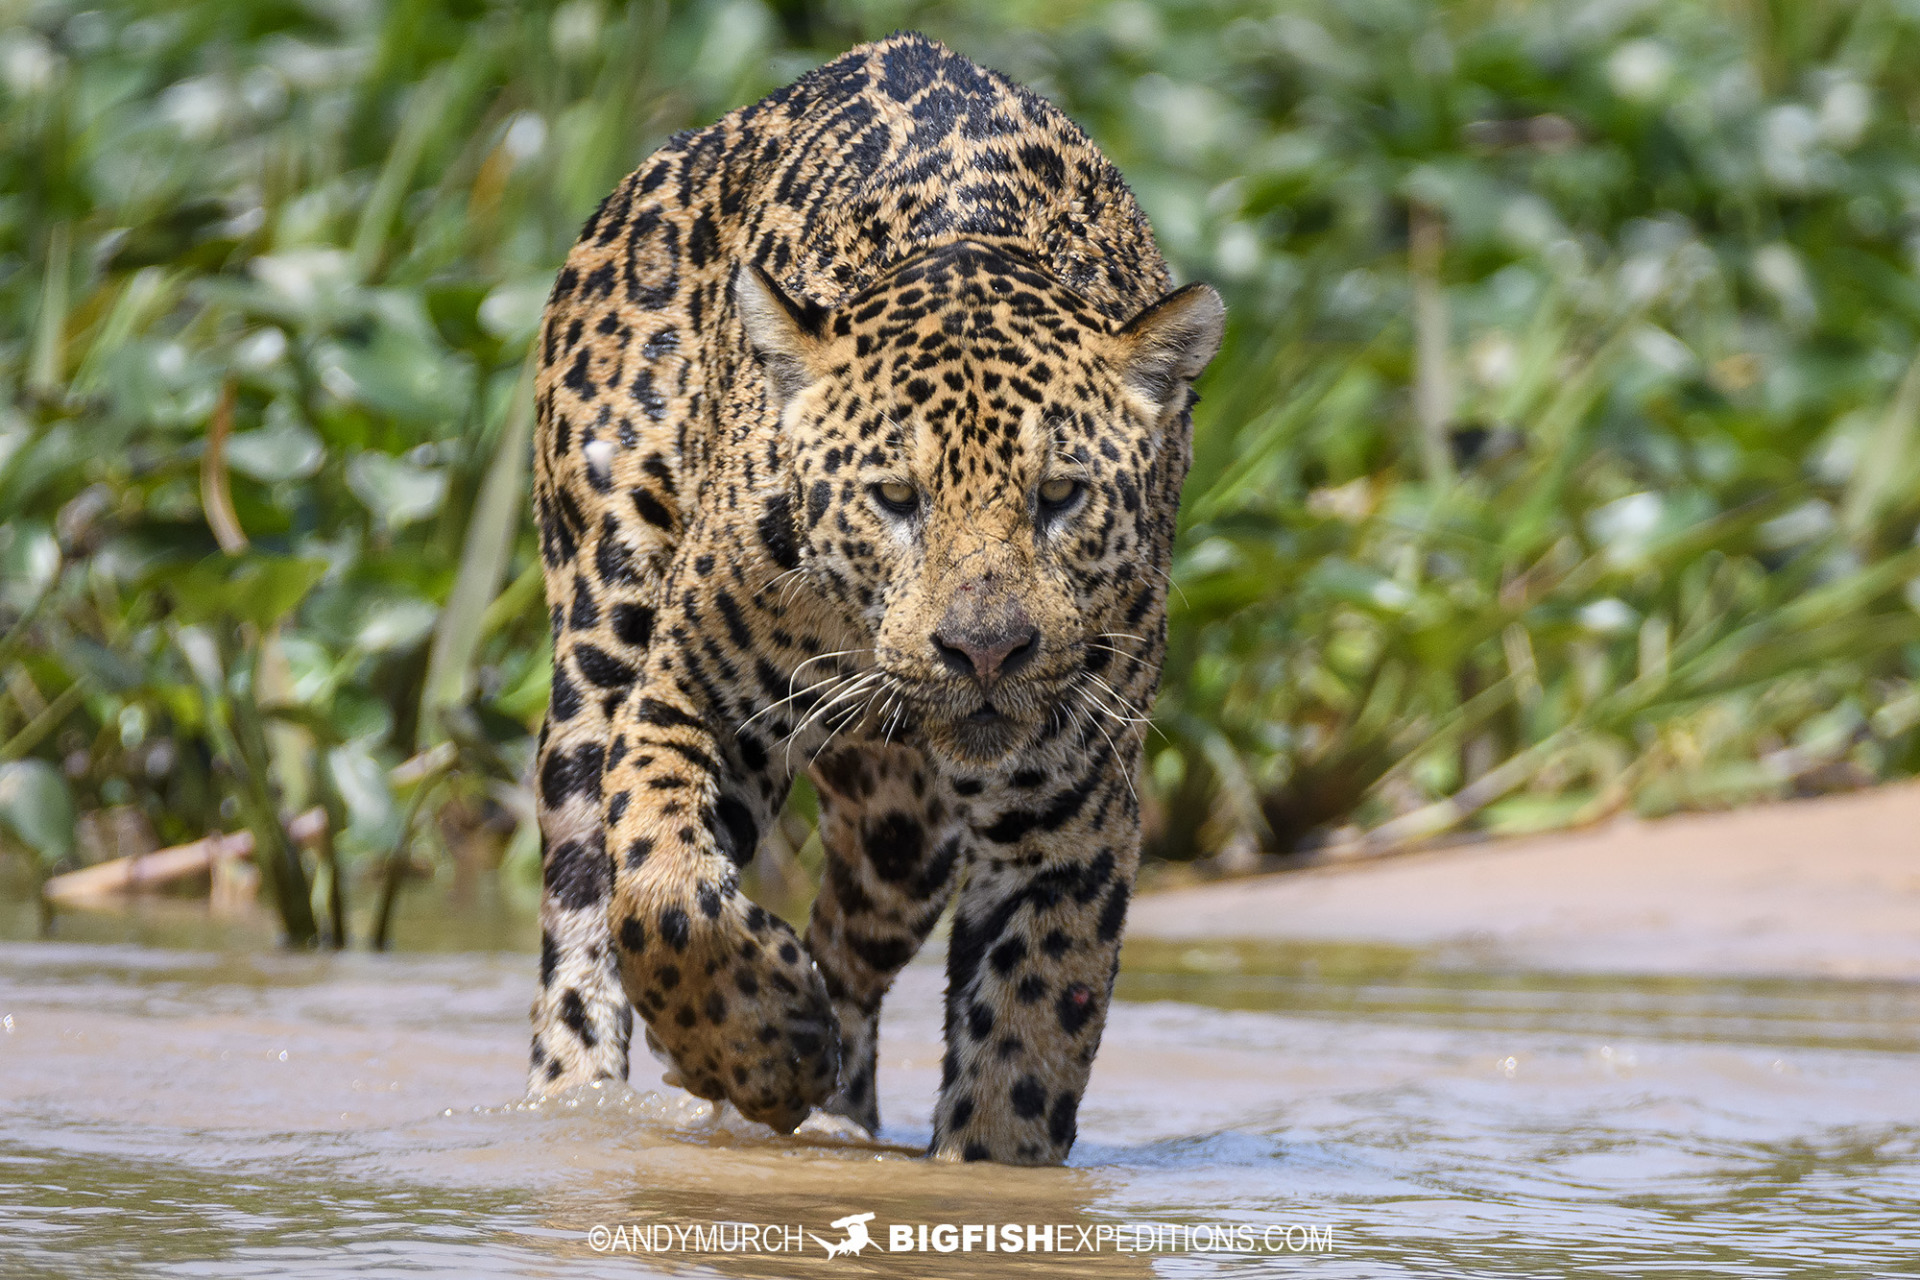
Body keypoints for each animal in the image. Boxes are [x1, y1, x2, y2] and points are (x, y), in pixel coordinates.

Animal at [525, 31, 1222, 1166]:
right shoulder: (690, 701)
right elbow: (662, 889)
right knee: (587, 884)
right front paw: (758, 1047)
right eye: (897, 497)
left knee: (852, 943)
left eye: (1060, 496)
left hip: (909, 831)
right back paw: (581, 1096)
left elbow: (1028, 1037)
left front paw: (971, 1166)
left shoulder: (1068, 818)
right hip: (599, 627)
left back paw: (835, 1106)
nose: (986, 651)